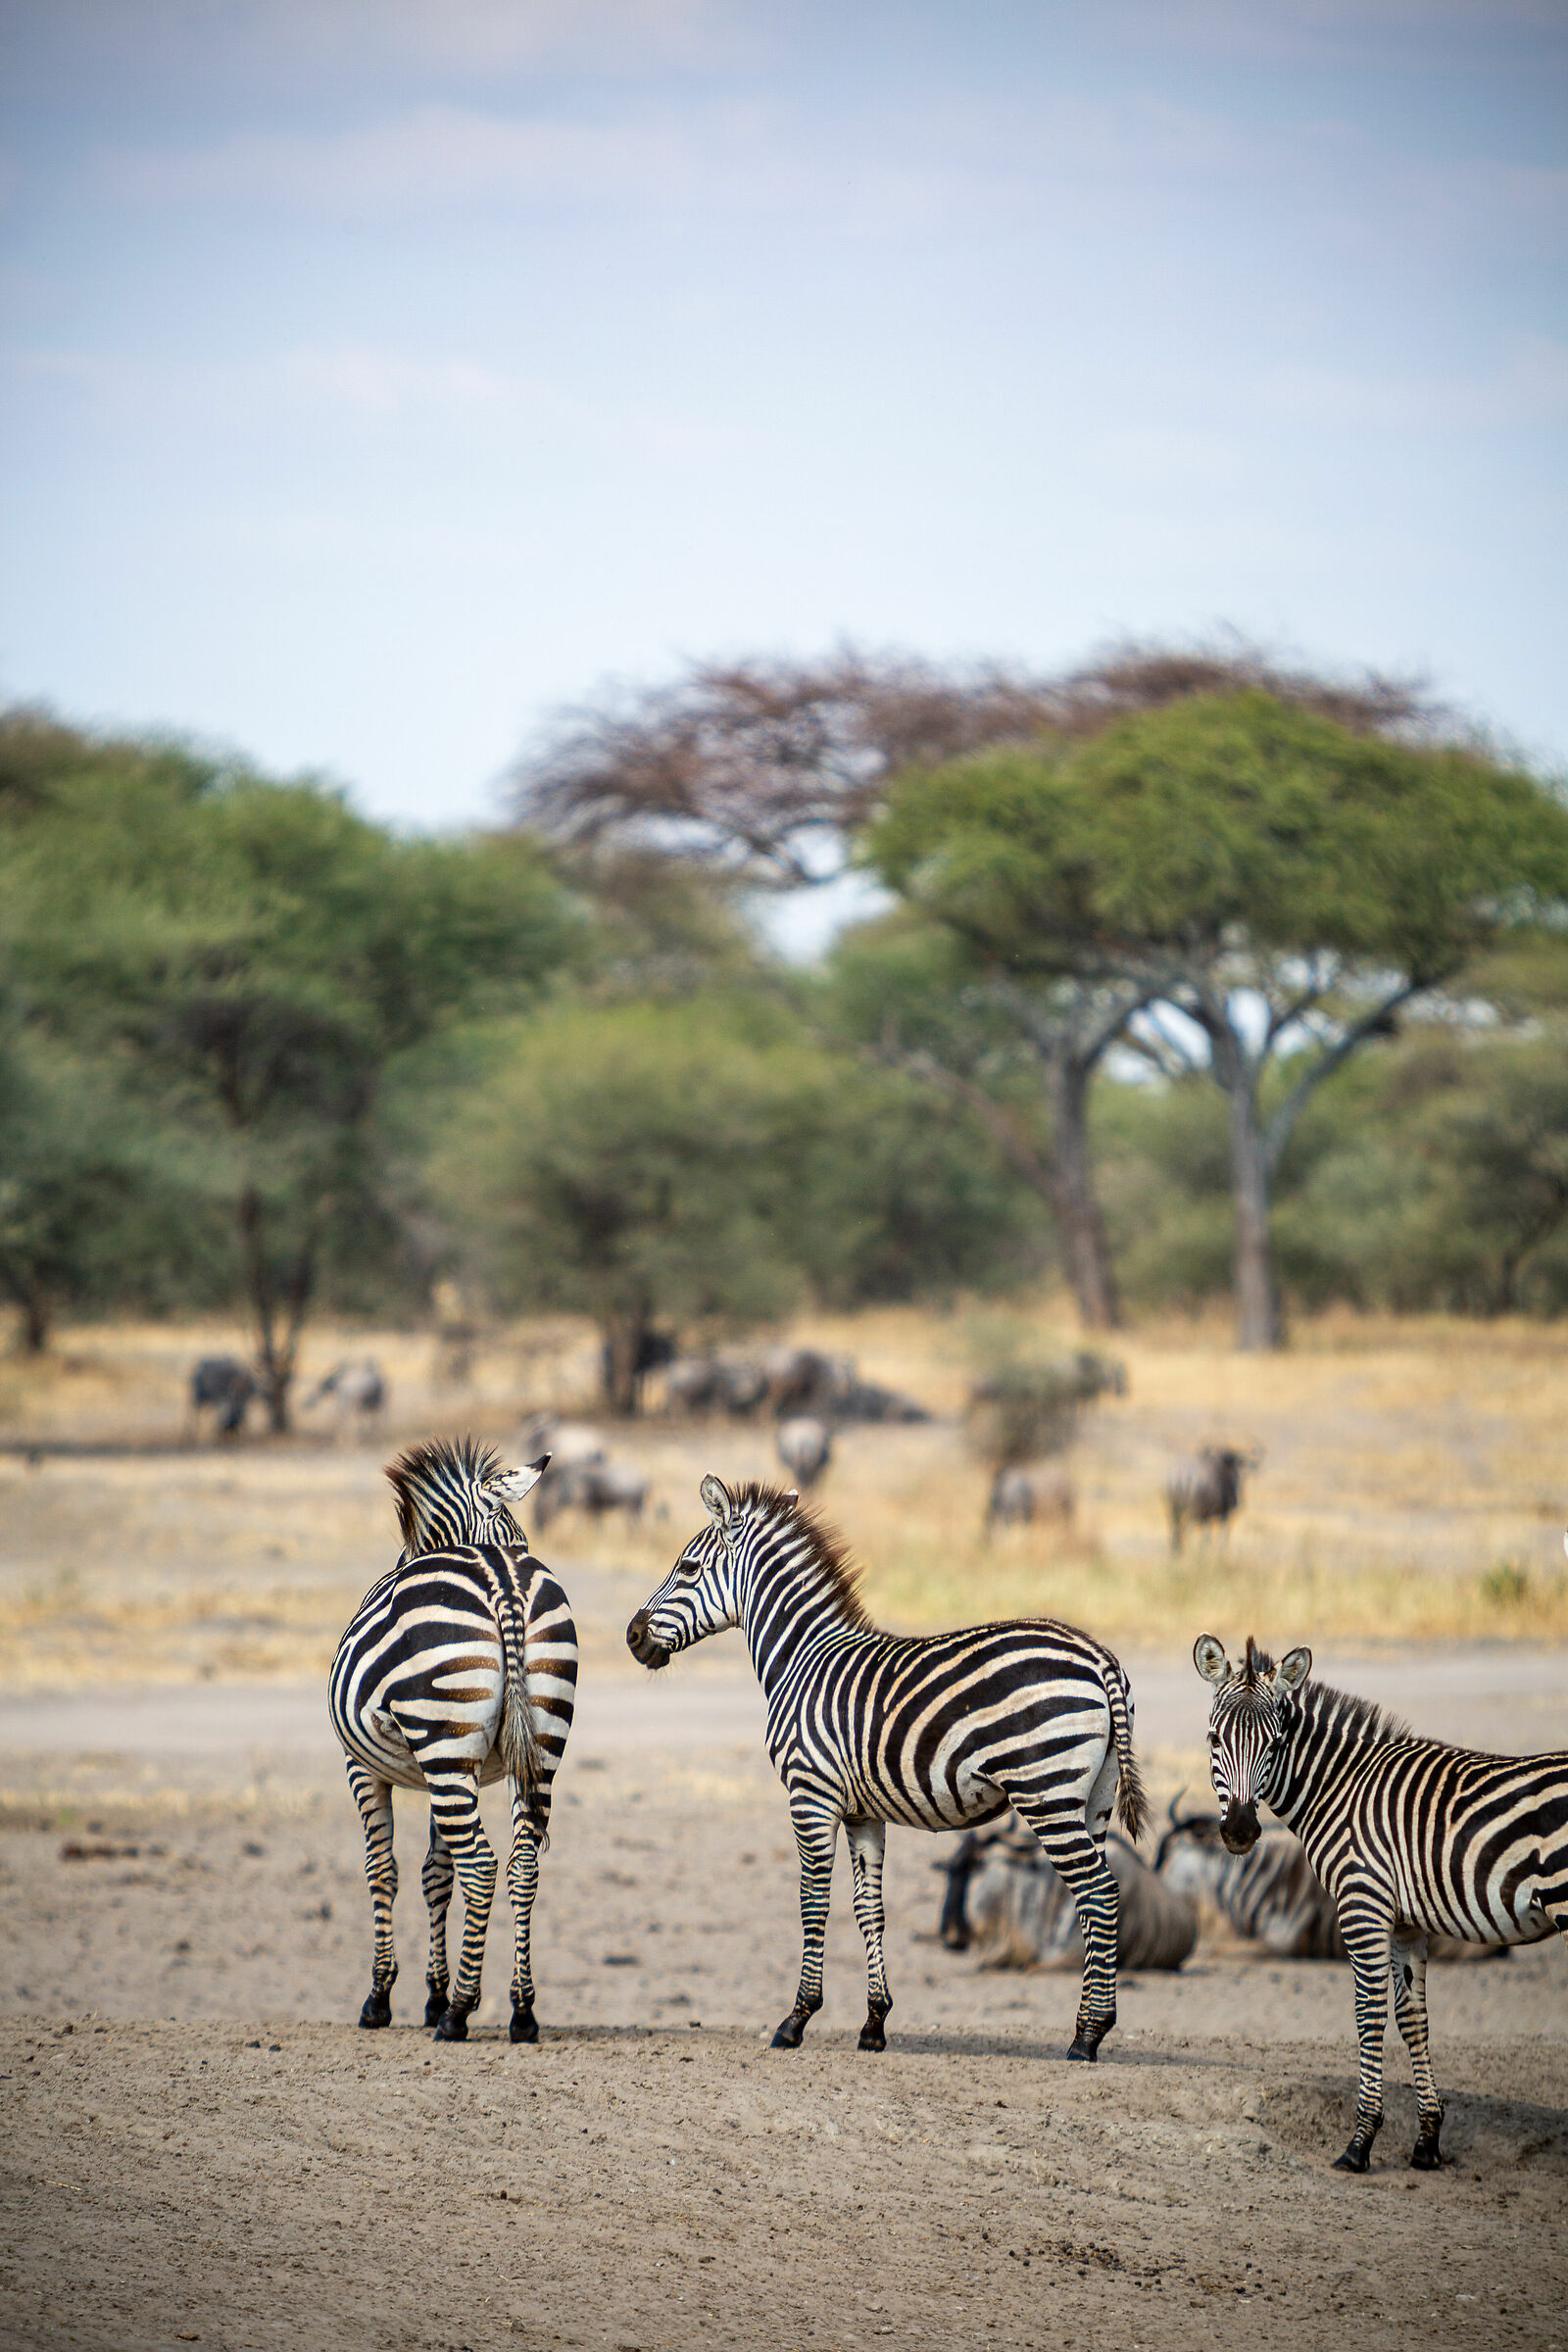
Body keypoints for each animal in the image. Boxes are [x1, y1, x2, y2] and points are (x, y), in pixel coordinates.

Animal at [329, 1437, 578, 2045]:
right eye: (521, 1539)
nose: (521, 1555)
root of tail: (505, 1583)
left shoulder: (361, 1767)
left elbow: (383, 1870)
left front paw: (383, 1998)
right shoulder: (456, 1770)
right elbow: (435, 1873)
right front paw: (432, 1993)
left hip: (442, 1744)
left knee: (483, 1865)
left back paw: (461, 2012)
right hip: (535, 1746)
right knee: (521, 1864)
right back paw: (521, 2011)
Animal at [627, 1476, 1147, 2060]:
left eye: (688, 1568)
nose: (632, 1637)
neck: (802, 1658)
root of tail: (1098, 1656)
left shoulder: (810, 1795)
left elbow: (813, 1902)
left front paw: (796, 2019)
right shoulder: (862, 1811)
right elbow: (867, 1908)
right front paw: (874, 2023)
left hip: (1047, 1795)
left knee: (1097, 1891)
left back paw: (1087, 2035)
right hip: (1095, 1798)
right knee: (1098, 1898)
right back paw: (1092, 2026)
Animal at [1195, 1632, 1568, 2172]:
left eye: (1277, 1742)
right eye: (1214, 1740)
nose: (1241, 1832)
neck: (1341, 1789)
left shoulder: (1362, 1903)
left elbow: (1367, 2012)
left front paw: (1360, 2142)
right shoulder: (1407, 1920)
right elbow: (1413, 2018)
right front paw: (1428, 2141)